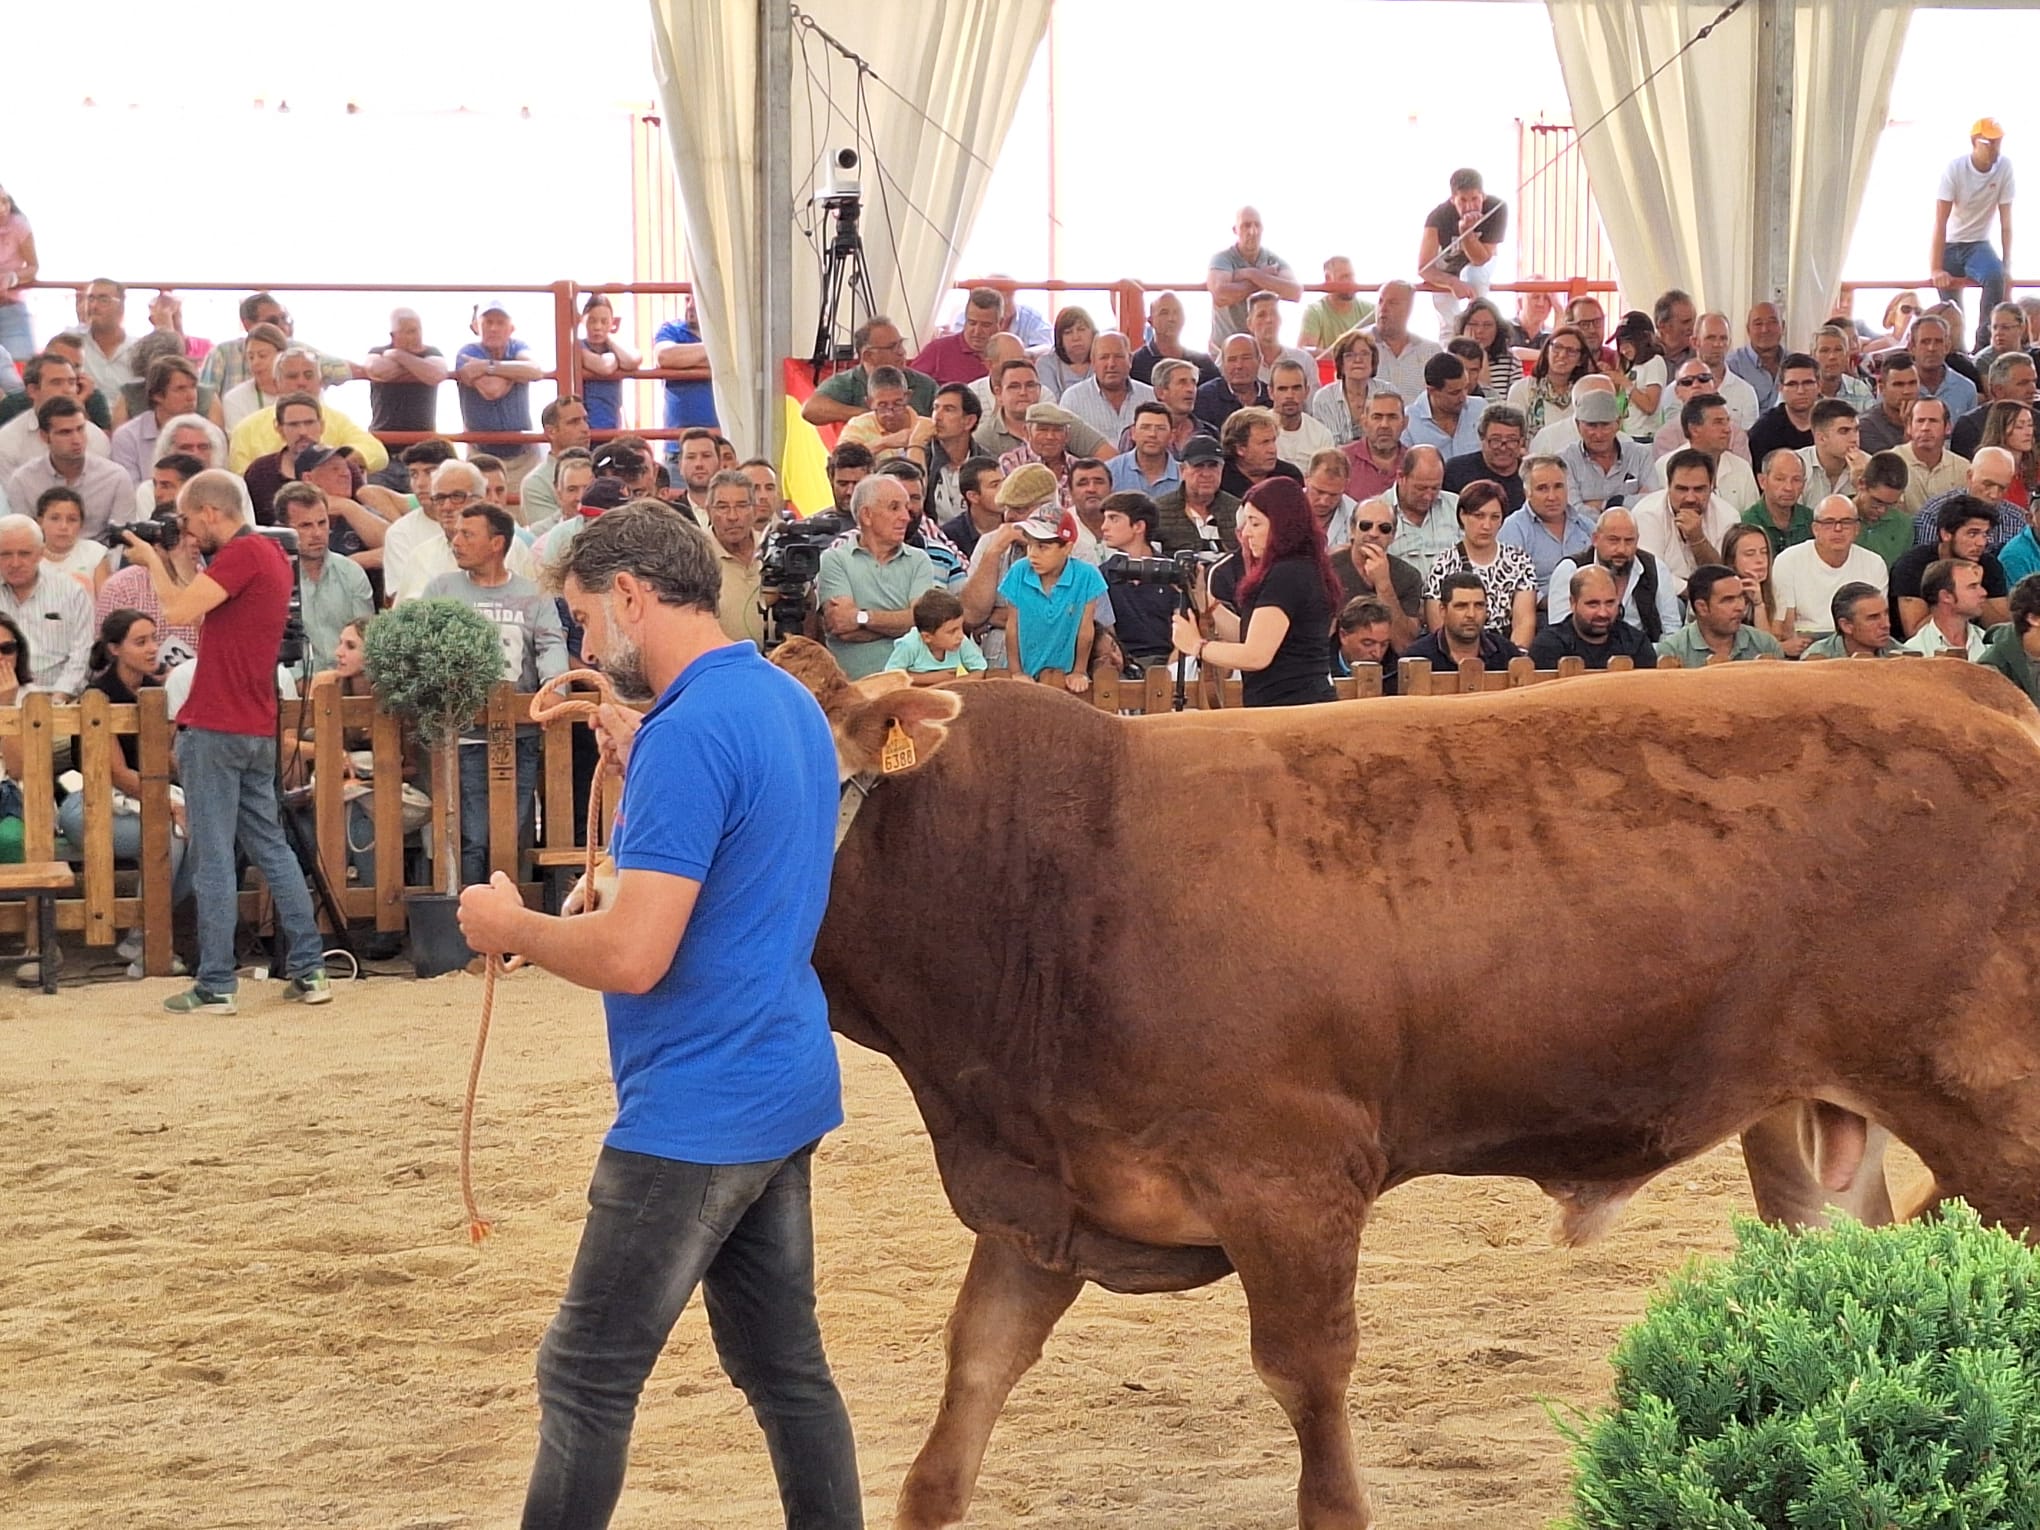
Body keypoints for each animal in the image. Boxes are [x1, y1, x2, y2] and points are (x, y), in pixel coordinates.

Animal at [771, 636, 2031, 1530]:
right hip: (1814, 1121)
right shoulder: (1049, 1198)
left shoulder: (1291, 1185)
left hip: (1992, 1110)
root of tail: (1959, 687)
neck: (1054, 878)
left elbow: (1310, 1397)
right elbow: (969, 1387)